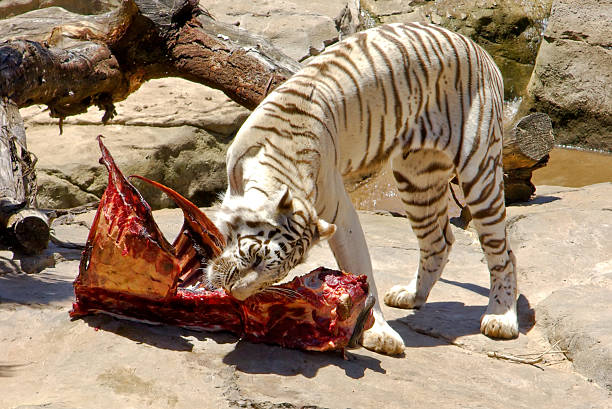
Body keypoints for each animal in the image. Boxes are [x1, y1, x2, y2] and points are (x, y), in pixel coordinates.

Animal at [208, 22, 520, 354]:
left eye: (275, 274)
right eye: (254, 258)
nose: (236, 294)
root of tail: (482, 51)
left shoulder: (339, 211)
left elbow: (361, 266)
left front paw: (379, 333)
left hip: (479, 169)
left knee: (502, 252)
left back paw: (501, 318)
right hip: (415, 178)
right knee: (439, 241)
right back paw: (411, 295)